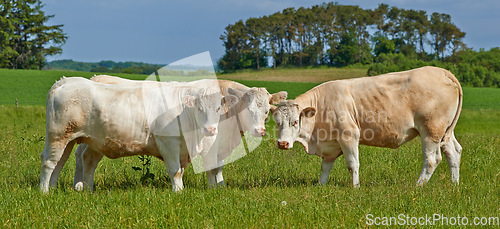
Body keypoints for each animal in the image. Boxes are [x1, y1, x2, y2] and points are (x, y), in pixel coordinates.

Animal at [40, 76, 237, 191]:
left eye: (218, 108)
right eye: (199, 108)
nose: (210, 129)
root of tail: (66, 81)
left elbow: (181, 171)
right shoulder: (168, 143)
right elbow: (175, 171)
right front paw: (178, 192)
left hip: (74, 139)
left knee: (63, 161)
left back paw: (59, 188)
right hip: (58, 135)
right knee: (49, 161)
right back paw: (44, 191)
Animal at [72, 75, 288, 190]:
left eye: (266, 110)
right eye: (248, 109)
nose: (259, 131)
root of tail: (98, 77)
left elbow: (218, 168)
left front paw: (221, 187)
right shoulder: (209, 144)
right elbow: (212, 168)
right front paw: (213, 189)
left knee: (80, 156)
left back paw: (79, 186)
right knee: (85, 158)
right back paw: (82, 186)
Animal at [272, 65, 462, 186]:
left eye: (295, 122)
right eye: (277, 122)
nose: (282, 144)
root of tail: (442, 72)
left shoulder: (349, 136)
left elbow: (352, 164)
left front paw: (355, 187)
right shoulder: (330, 144)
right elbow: (325, 167)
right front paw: (320, 186)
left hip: (431, 131)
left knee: (431, 160)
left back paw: (418, 186)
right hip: (445, 133)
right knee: (453, 152)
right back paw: (454, 185)